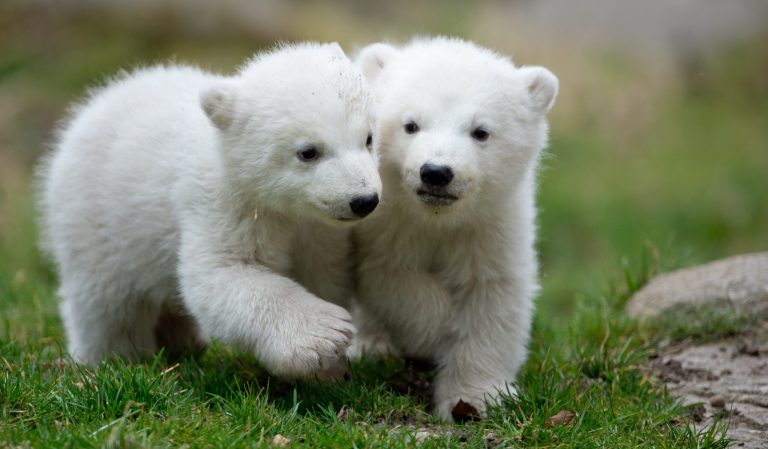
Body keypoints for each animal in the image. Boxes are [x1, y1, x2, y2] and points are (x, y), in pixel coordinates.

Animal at [39, 42, 382, 380]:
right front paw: (326, 335)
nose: (364, 199)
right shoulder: (225, 204)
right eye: (308, 152)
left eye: (368, 138)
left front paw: (330, 370)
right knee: (105, 302)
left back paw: (182, 341)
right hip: (96, 217)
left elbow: (321, 272)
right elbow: (220, 274)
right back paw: (111, 358)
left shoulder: (318, 228)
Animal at [351, 37, 558, 420]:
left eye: (481, 132)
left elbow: (492, 297)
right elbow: (391, 276)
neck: (437, 219)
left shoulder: (491, 227)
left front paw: (477, 398)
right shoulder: (383, 226)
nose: (436, 172)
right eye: (410, 125)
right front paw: (436, 330)